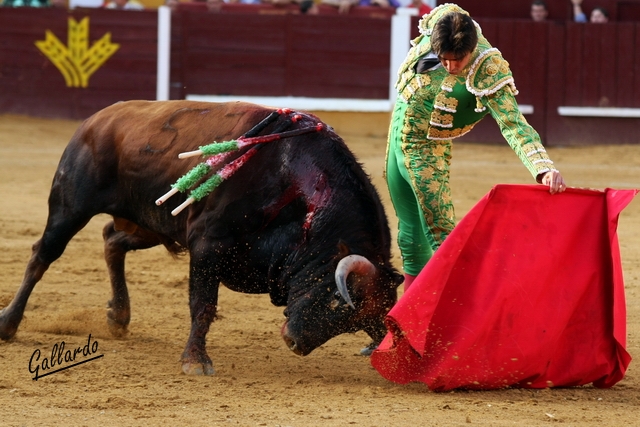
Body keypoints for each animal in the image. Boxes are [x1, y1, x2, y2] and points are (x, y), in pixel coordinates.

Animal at [0, 99, 400, 374]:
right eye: (337, 301)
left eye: (355, 322)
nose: (295, 342)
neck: (300, 185)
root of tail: (97, 119)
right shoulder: (208, 245)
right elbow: (203, 304)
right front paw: (195, 361)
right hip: (69, 208)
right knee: (41, 257)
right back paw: (9, 323)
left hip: (154, 221)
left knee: (112, 240)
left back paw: (119, 316)